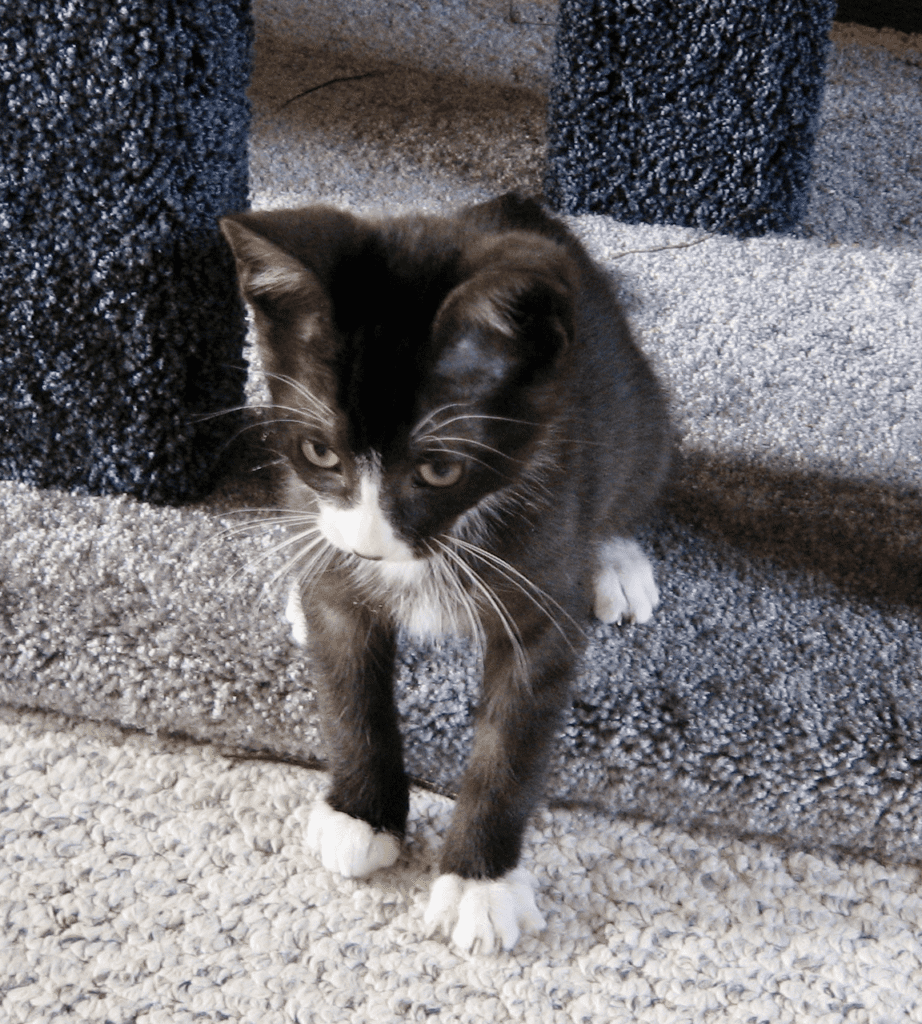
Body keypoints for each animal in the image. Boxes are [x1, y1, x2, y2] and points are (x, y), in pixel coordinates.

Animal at [223, 195, 667, 954]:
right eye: (319, 452)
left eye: (438, 469)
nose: (371, 548)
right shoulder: (331, 553)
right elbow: (348, 690)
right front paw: (361, 812)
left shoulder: (544, 564)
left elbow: (511, 740)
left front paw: (480, 884)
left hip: (637, 411)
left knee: (635, 474)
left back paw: (614, 557)